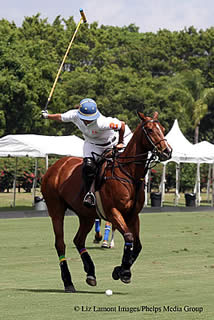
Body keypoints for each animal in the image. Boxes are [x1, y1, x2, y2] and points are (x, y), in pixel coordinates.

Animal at [41, 110, 172, 292]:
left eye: (163, 129)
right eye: (150, 130)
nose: (167, 151)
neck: (129, 173)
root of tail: (55, 167)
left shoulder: (133, 215)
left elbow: (138, 245)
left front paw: (119, 270)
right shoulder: (113, 212)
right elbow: (129, 237)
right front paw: (124, 272)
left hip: (86, 215)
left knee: (78, 240)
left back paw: (90, 273)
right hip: (56, 210)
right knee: (60, 243)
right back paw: (68, 282)